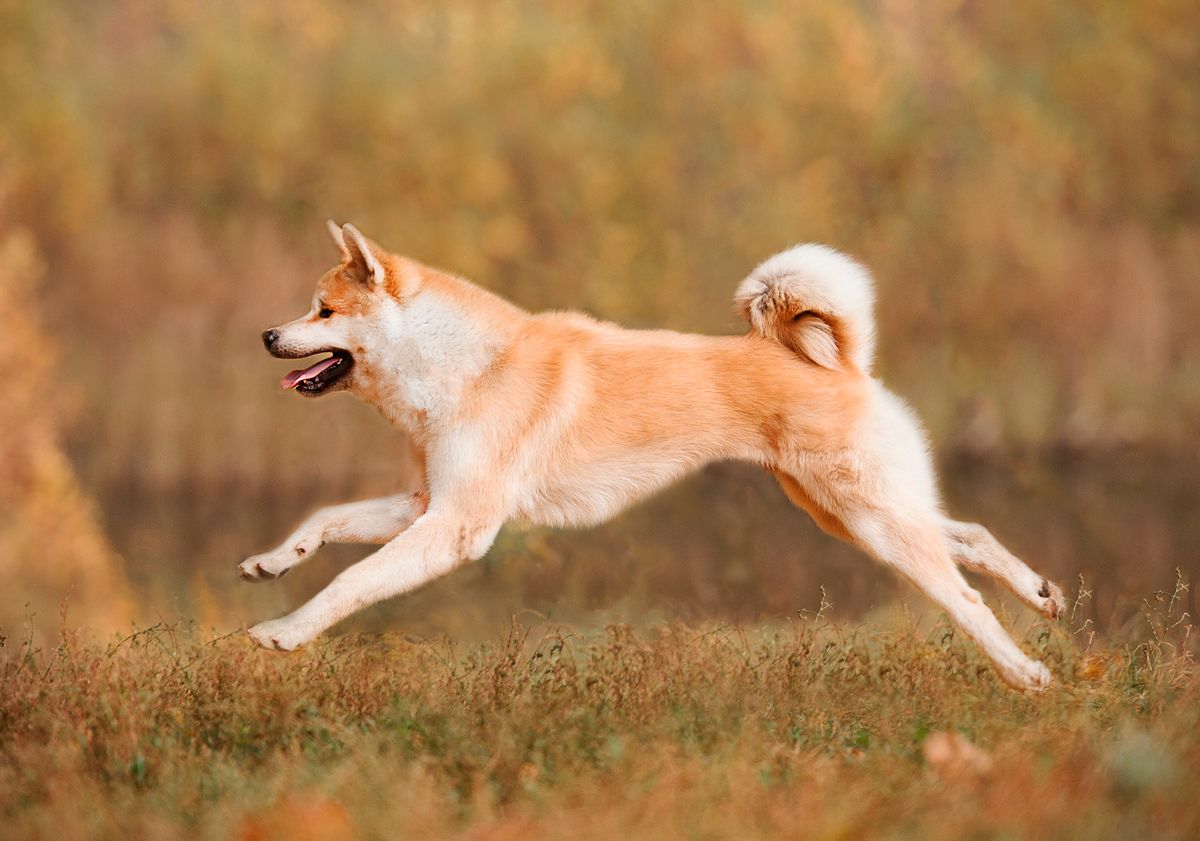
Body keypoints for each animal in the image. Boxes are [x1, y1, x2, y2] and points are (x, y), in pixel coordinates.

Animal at [238, 221, 1065, 691]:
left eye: (324, 311)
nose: (268, 335)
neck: (466, 367)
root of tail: (846, 363)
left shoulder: (457, 526)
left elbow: (352, 580)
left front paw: (285, 632)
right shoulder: (427, 504)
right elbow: (327, 520)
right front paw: (273, 561)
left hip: (870, 519)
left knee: (964, 595)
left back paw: (1026, 672)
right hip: (852, 513)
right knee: (969, 537)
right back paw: (1044, 593)